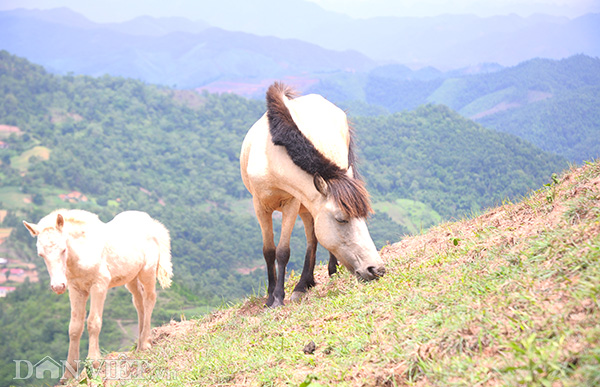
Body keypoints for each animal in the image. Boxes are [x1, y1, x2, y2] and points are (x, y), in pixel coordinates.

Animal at [23, 209, 172, 382]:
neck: (82, 251)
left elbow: (93, 322)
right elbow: (74, 327)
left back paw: (146, 343)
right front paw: (68, 374)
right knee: (139, 302)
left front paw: (93, 362)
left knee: (149, 299)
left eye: (63, 250)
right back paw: (139, 346)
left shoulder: (99, 284)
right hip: (131, 278)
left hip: (147, 271)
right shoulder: (75, 289)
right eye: (41, 254)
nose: (58, 286)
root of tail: (152, 223)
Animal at [239, 82, 384, 310]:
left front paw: (278, 297)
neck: (271, 158)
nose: (376, 269)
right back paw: (304, 284)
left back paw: (323, 275)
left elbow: (283, 251)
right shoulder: (260, 205)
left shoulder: (291, 203)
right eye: (341, 219)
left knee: (313, 238)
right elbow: (269, 251)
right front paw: (270, 296)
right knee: (312, 237)